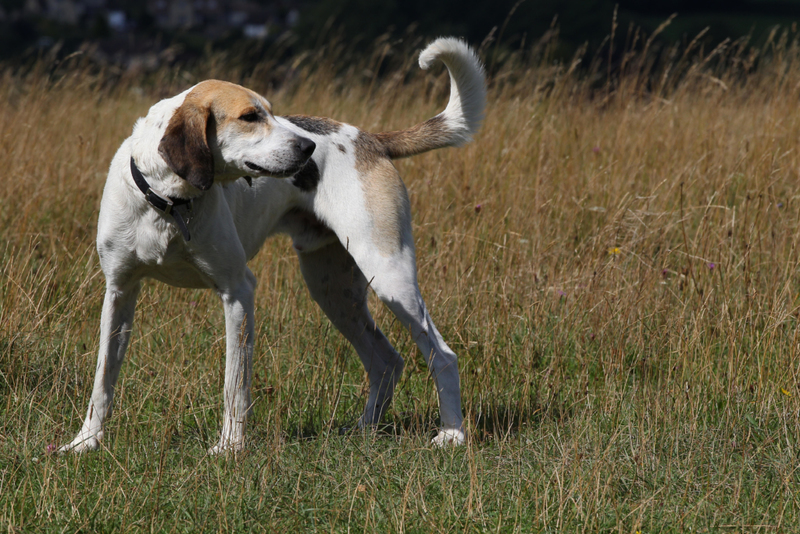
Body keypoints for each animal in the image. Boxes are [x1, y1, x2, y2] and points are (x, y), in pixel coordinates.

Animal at [59, 37, 484, 454]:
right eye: (250, 117)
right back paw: (365, 429)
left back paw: (451, 434)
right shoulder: (119, 291)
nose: (308, 148)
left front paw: (229, 447)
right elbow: (102, 380)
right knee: (386, 361)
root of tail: (370, 139)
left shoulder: (238, 291)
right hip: (334, 293)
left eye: (271, 112)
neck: (168, 204)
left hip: (390, 277)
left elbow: (234, 383)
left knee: (443, 356)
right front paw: (85, 441)